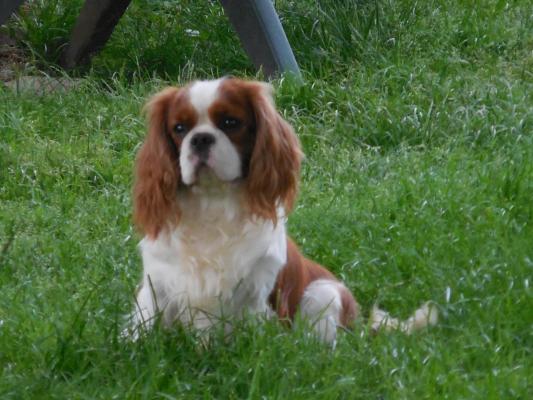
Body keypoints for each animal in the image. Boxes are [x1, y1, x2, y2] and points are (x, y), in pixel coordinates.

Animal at [125, 78, 436, 344]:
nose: (200, 138)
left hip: (324, 292)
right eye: (179, 128)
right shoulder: (157, 288)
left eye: (230, 123)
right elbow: (142, 328)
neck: (211, 205)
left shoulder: (254, 298)